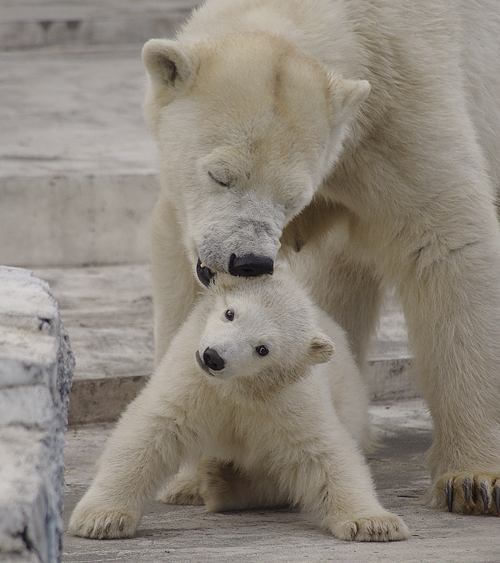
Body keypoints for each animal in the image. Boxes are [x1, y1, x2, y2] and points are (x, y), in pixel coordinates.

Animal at [141, 0, 500, 512]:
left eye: (292, 196)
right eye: (220, 175)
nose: (248, 262)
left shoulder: (402, 105)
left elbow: (448, 241)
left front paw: (472, 478)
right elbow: (182, 262)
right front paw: (191, 477)